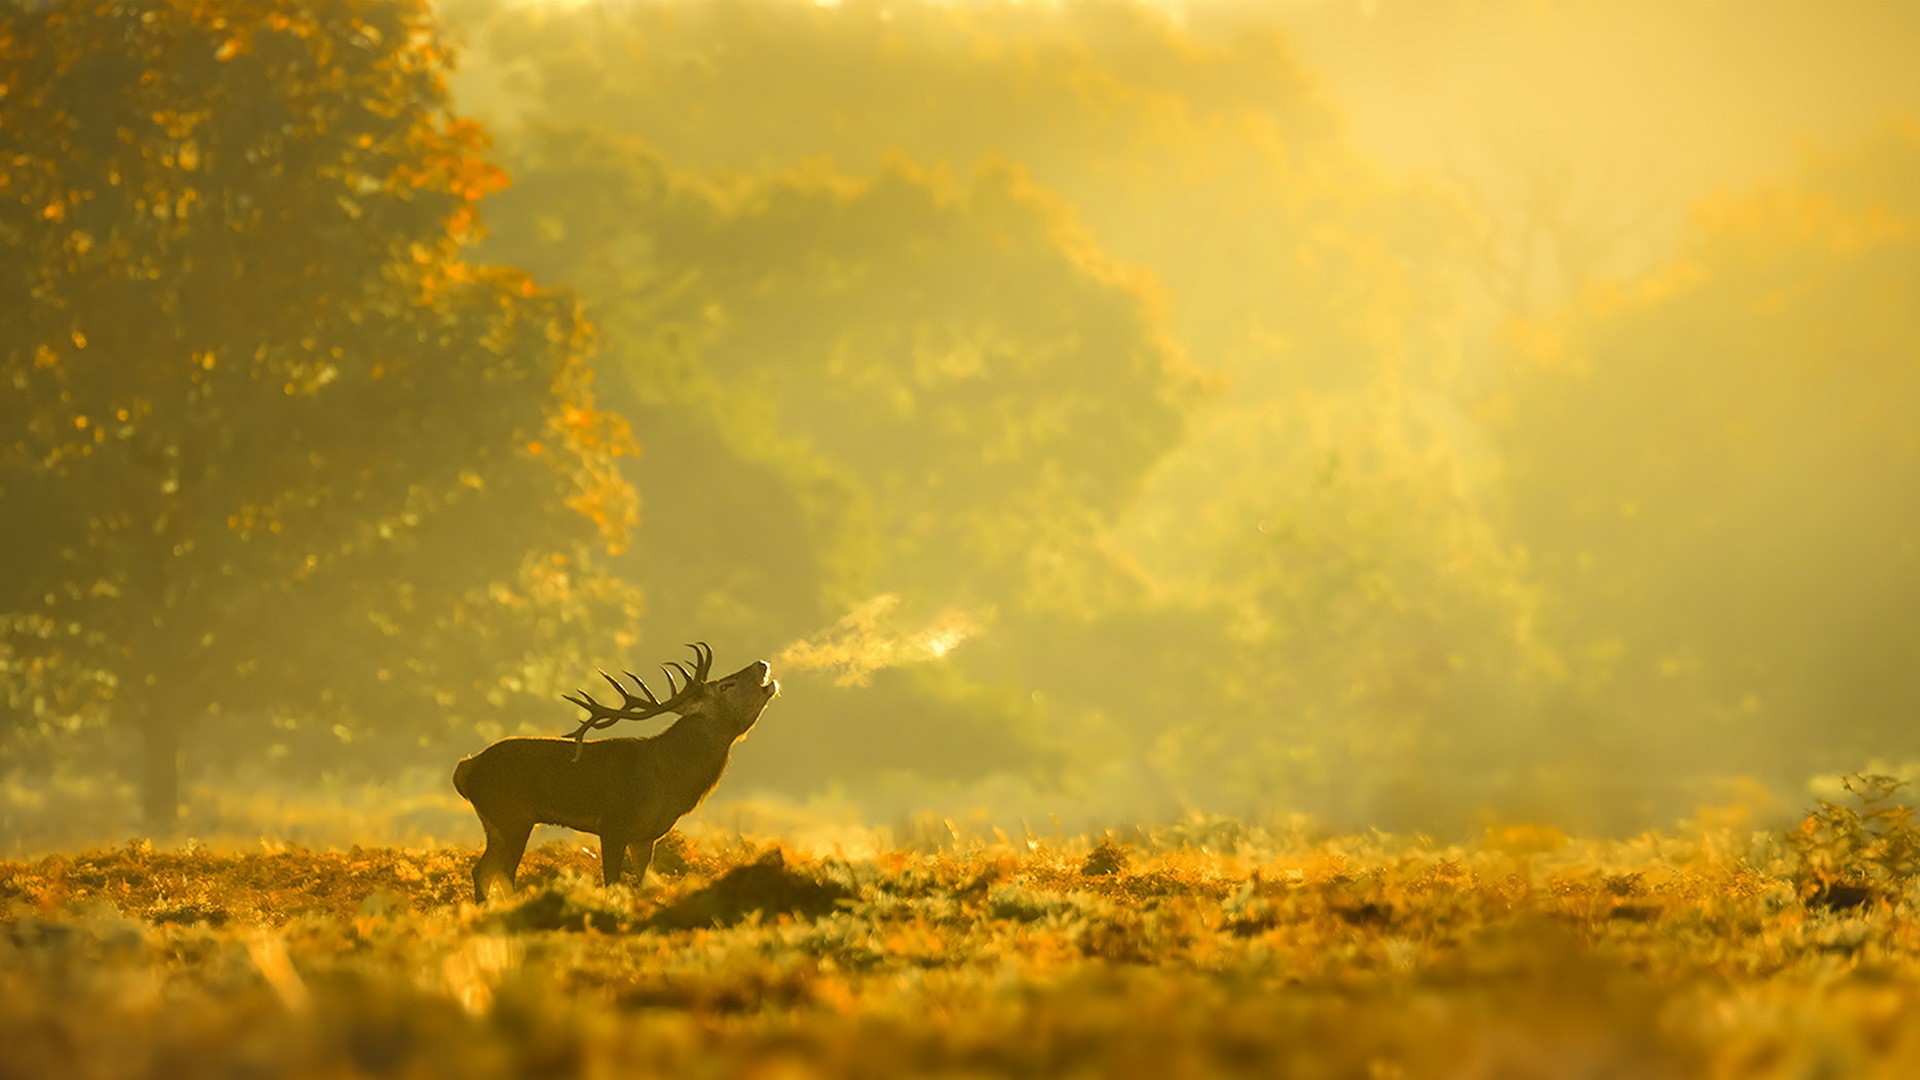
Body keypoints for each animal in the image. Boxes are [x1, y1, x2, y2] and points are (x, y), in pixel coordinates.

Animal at [452, 642, 778, 903]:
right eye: (726, 686)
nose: (761, 664)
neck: (669, 778)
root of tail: (465, 768)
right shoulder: (613, 824)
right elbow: (612, 883)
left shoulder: (645, 836)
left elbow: (644, 883)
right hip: (513, 816)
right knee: (503, 874)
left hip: (496, 823)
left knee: (481, 870)